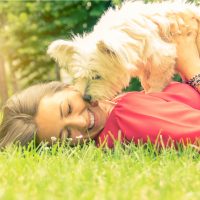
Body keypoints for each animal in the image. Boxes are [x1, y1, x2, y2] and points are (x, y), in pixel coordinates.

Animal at [46, 0, 200, 100]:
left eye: (97, 76)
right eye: (80, 77)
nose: (85, 98)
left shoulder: (162, 56)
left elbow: (156, 82)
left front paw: (153, 94)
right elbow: (146, 81)